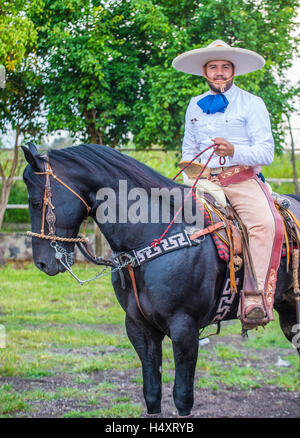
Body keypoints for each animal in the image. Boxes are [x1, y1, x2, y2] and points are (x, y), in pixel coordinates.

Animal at [22, 144, 298, 418]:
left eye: (36, 202)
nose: (42, 263)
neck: (151, 237)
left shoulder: (184, 328)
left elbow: (182, 396)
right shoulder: (138, 327)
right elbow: (152, 392)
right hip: (287, 308)